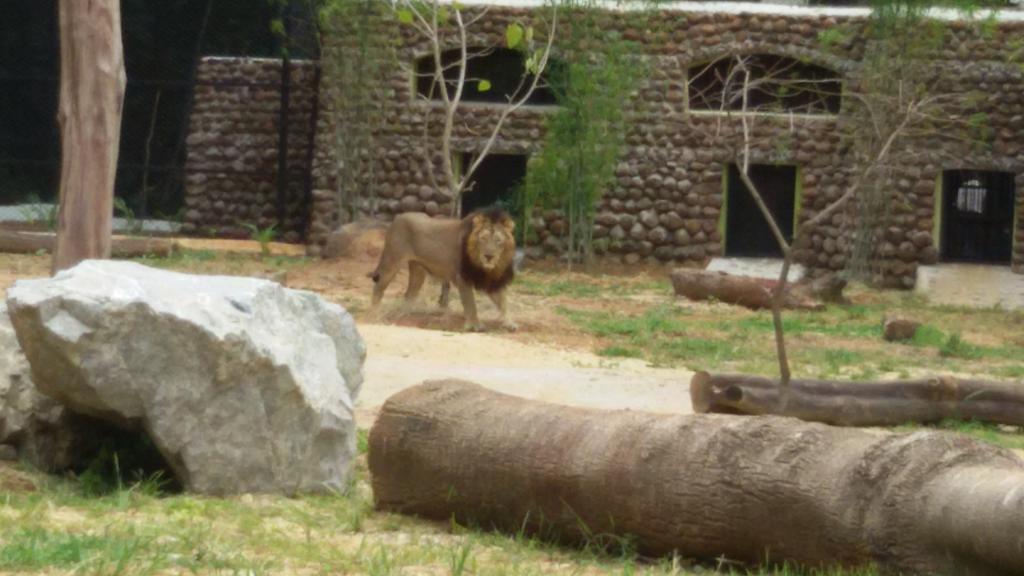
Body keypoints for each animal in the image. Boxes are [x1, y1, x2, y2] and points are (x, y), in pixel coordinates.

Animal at [366, 208, 516, 330]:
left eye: (498, 240)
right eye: (483, 238)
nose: (489, 256)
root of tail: (398, 217)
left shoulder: (490, 280)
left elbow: (503, 301)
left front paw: (509, 323)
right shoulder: (463, 278)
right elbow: (471, 304)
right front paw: (476, 325)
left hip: (418, 271)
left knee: (409, 295)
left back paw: (406, 316)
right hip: (392, 261)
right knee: (378, 288)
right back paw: (375, 317)